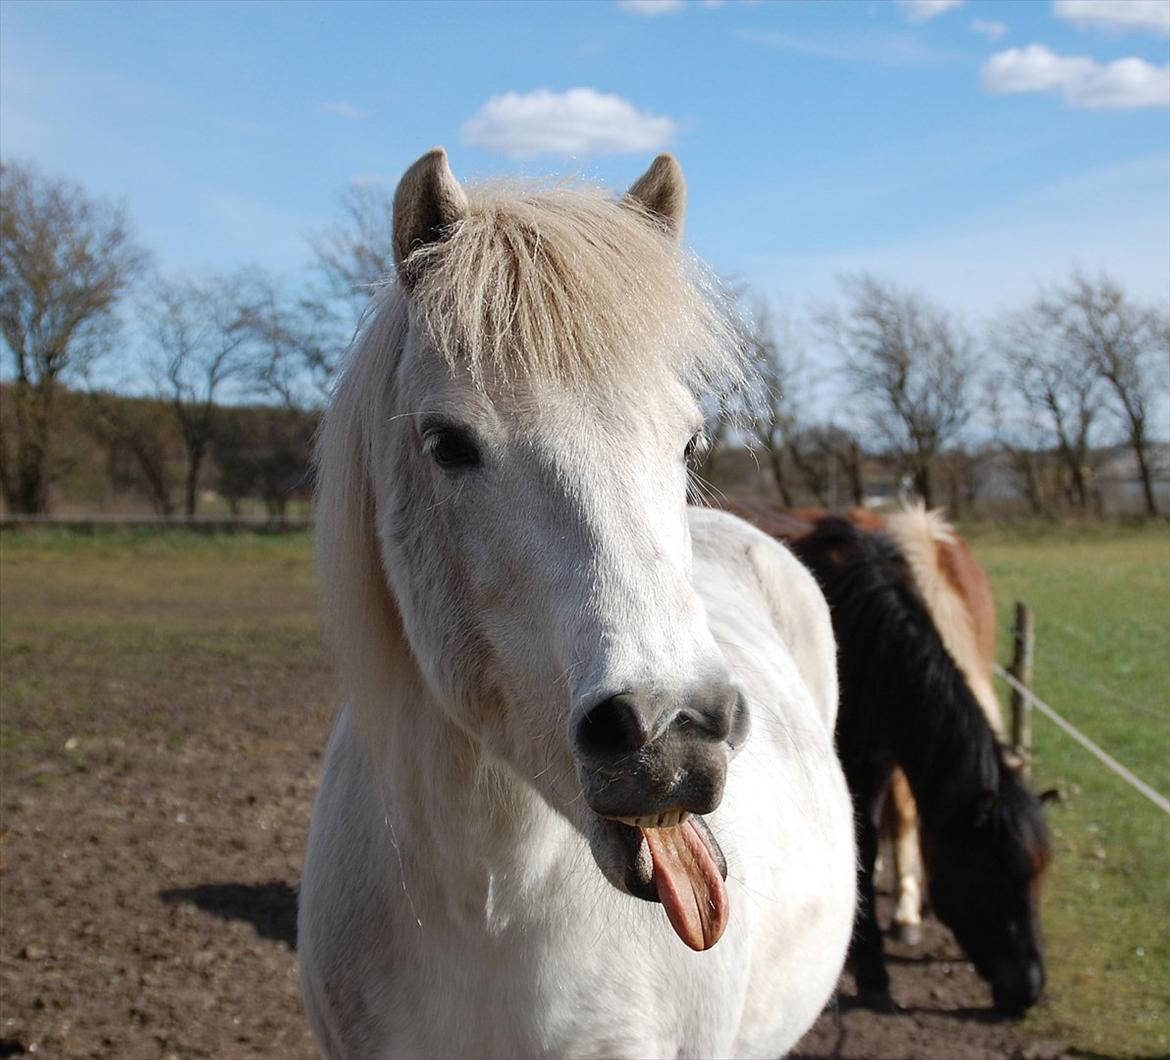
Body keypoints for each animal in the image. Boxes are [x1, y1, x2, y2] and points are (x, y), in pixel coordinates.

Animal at [720, 500, 1053, 1010]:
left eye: (1038, 878)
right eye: (992, 873)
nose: (1030, 989)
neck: (861, 623)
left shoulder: (875, 758)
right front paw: (873, 967)